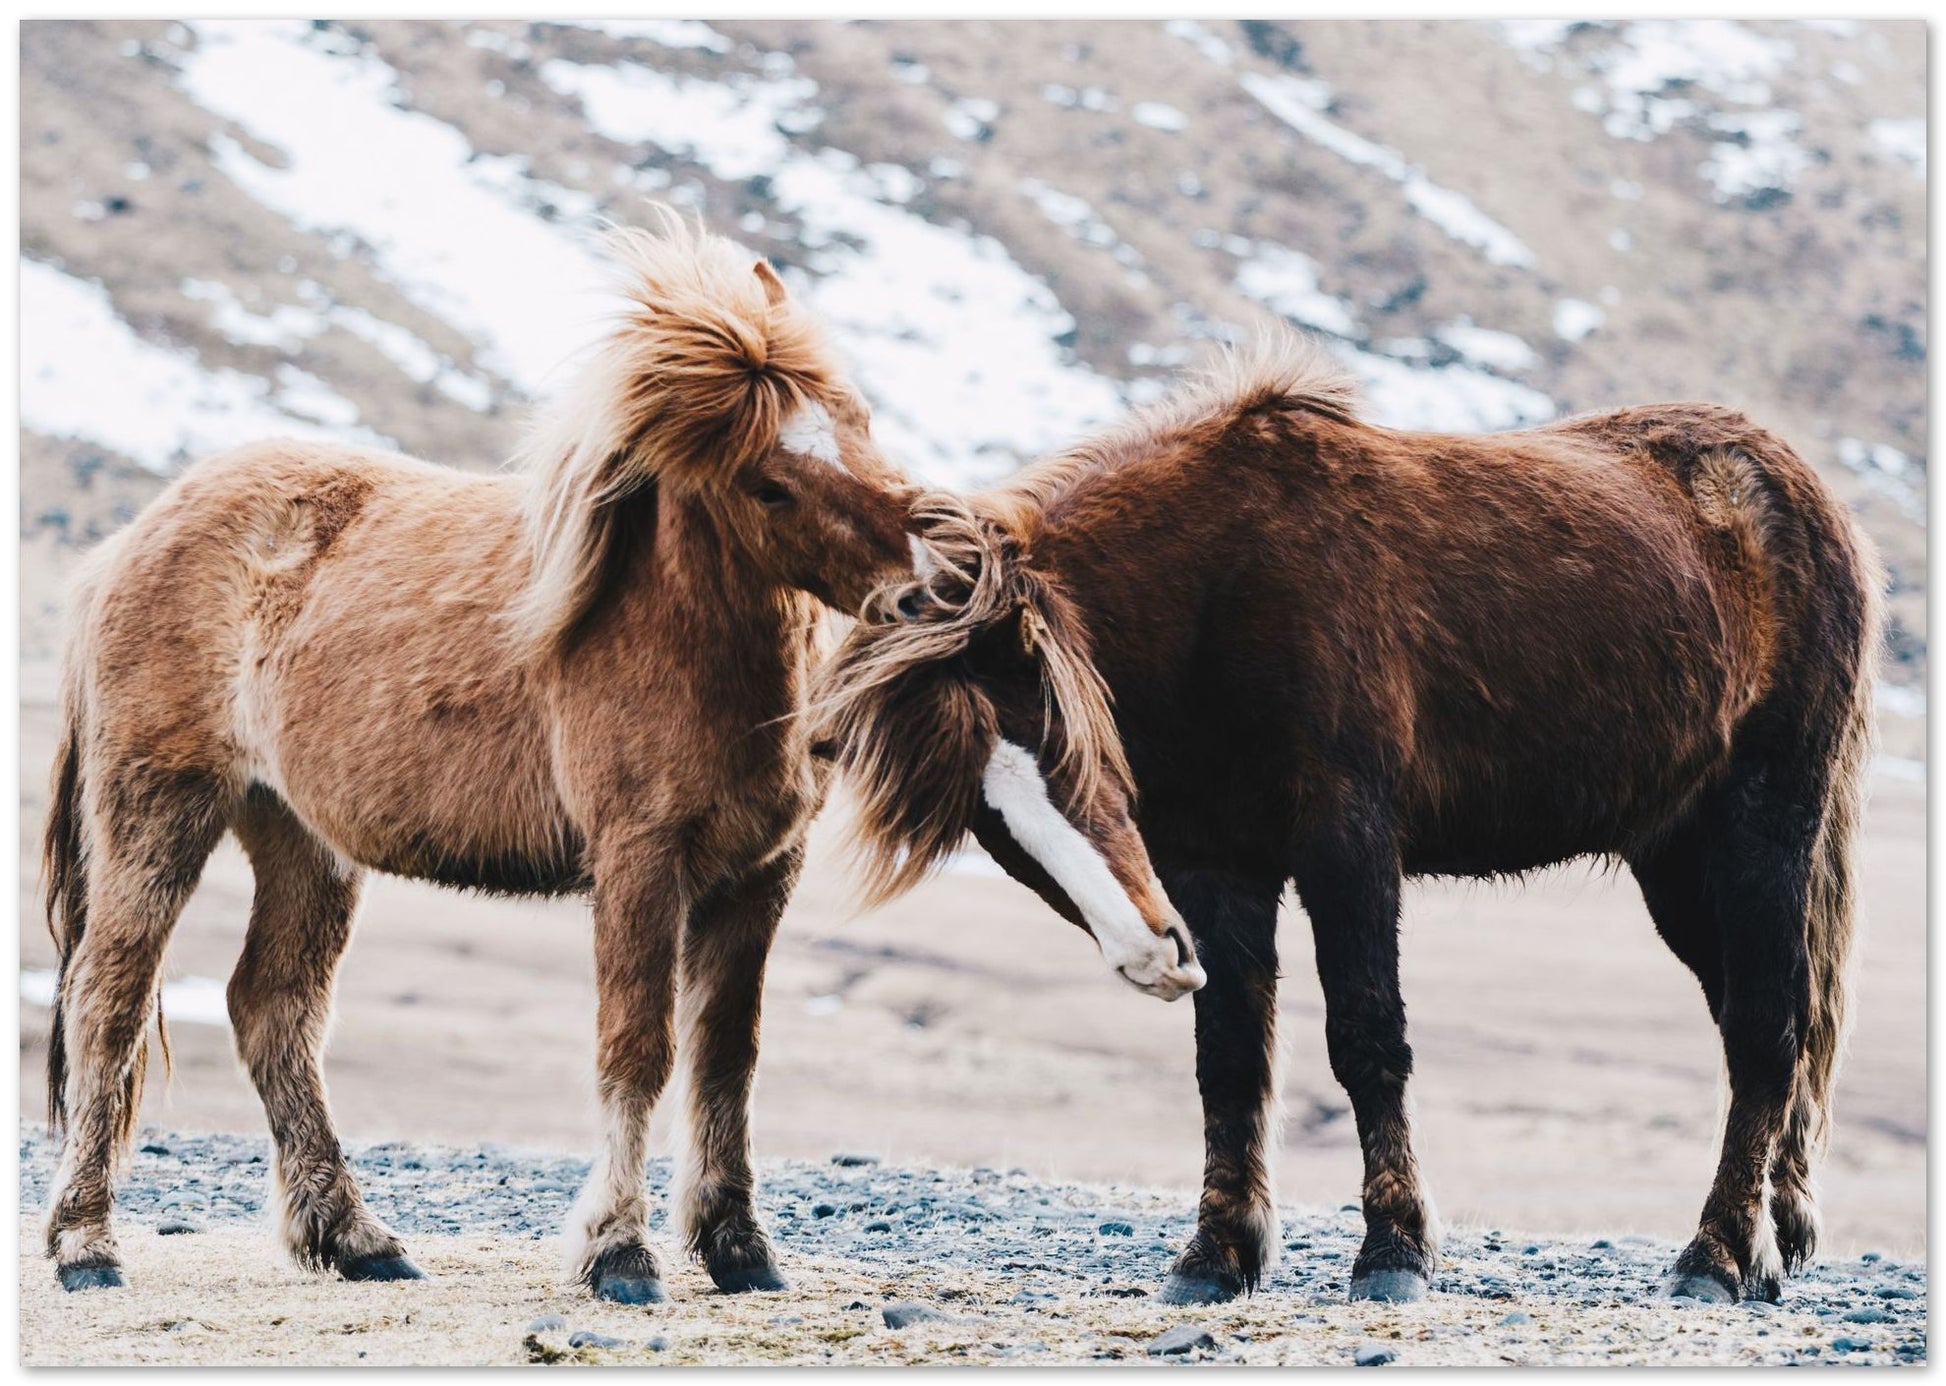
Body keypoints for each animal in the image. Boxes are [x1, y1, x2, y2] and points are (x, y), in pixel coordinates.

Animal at [40, 212, 923, 1302]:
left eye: (859, 419)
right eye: (769, 482)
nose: (936, 571)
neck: (669, 627)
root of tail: (129, 541)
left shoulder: (759, 874)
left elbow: (727, 1059)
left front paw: (738, 1249)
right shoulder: (639, 861)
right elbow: (637, 1049)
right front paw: (618, 1252)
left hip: (298, 835)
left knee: (272, 1008)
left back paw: (356, 1239)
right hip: (161, 809)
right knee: (108, 1002)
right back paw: (86, 1247)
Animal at [812, 333, 1880, 1308]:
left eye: (1060, 739)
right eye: (984, 819)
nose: (1152, 956)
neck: (1216, 588)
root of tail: (1802, 495)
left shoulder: (1347, 841)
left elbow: (1367, 1038)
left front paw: (1394, 1251)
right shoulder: (1214, 868)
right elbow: (1231, 1056)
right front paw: (1217, 1256)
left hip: (1761, 826)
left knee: (1768, 1026)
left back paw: (1717, 1257)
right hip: (1676, 861)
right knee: (1760, 1023)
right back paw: (1772, 1241)